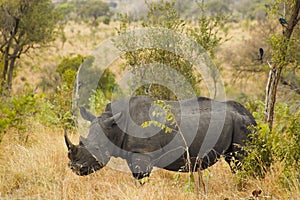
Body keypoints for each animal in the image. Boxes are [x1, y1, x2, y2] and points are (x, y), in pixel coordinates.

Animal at [64, 95, 256, 180]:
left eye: (96, 149)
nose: (74, 168)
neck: (115, 127)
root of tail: (248, 114)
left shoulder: (142, 152)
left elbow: (140, 178)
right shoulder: (133, 152)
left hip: (242, 124)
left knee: (241, 160)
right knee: (233, 161)